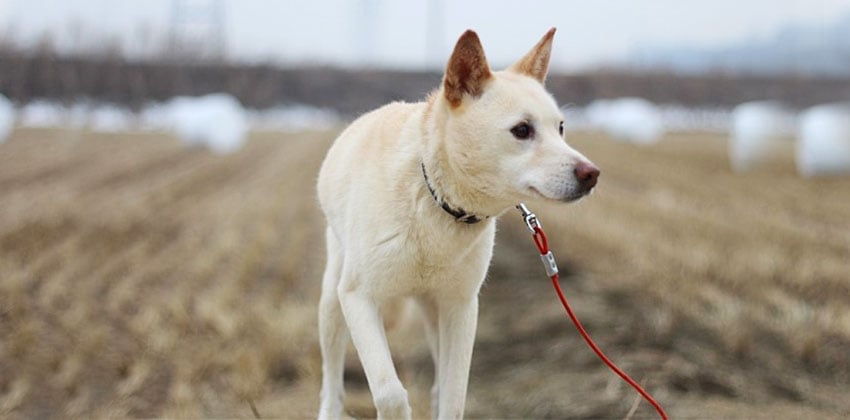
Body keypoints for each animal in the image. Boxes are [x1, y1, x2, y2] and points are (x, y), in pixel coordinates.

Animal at [314, 27, 600, 418]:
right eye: (522, 130)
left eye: (560, 128)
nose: (592, 174)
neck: (435, 198)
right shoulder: (357, 297)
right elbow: (390, 392)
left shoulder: (461, 308)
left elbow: (453, 394)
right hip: (332, 301)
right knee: (332, 384)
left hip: (435, 312)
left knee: (437, 385)